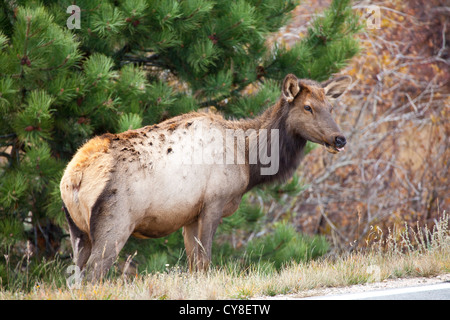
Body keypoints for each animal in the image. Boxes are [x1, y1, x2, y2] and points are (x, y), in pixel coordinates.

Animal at [59, 74, 352, 278]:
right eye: (308, 107)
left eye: (331, 107)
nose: (340, 139)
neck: (249, 160)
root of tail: (73, 178)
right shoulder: (214, 201)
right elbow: (206, 261)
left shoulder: (190, 215)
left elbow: (194, 266)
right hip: (115, 223)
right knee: (94, 273)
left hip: (77, 230)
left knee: (77, 275)